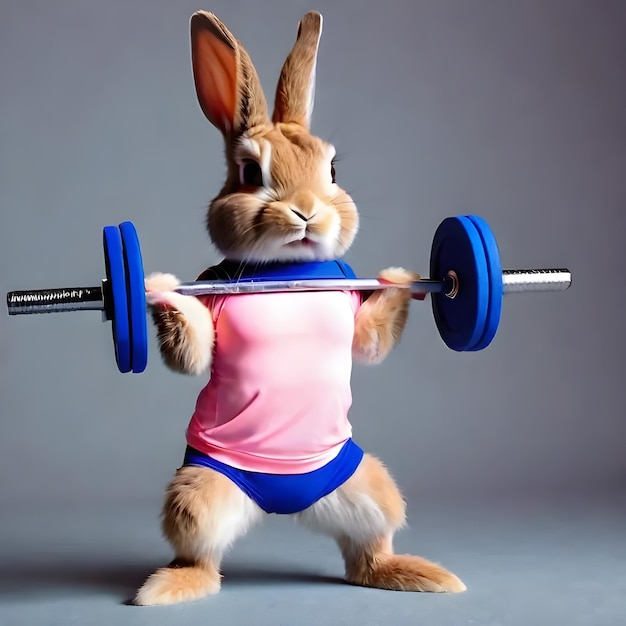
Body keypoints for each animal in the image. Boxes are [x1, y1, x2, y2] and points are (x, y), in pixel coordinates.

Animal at [133, 9, 464, 604]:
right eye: (250, 174)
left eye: (332, 171)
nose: (307, 211)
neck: (286, 272)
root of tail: (285, 505)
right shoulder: (211, 293)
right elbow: (192, 354)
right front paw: (156, 286)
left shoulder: (349, 297)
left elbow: (369, 342)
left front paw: (405, 279)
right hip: (200, 493)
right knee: (201, 551)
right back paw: (168, 587)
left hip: (366, 485)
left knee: (367, 551)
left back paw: (419, 574)